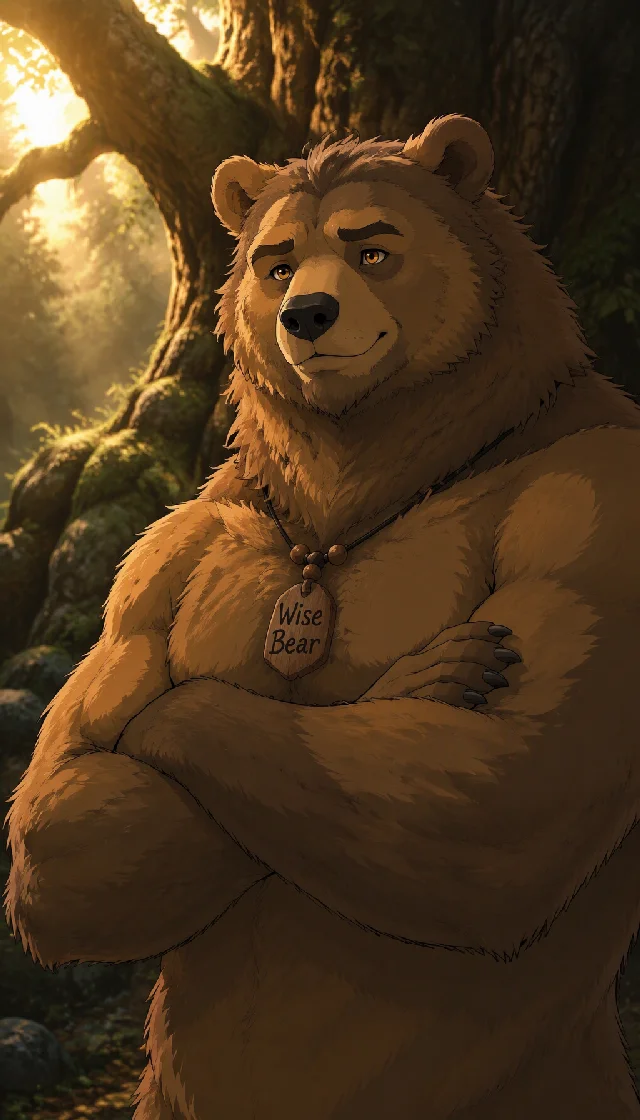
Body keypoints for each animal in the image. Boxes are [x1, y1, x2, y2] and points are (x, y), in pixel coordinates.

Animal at [5, 113, 640, 1119]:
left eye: (371, 247)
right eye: (276, 262)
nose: (305, 313)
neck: (347, 500)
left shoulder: (597, 507)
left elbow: (504, 791)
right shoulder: (158, 562)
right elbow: (71, 795)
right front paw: (426, 671)